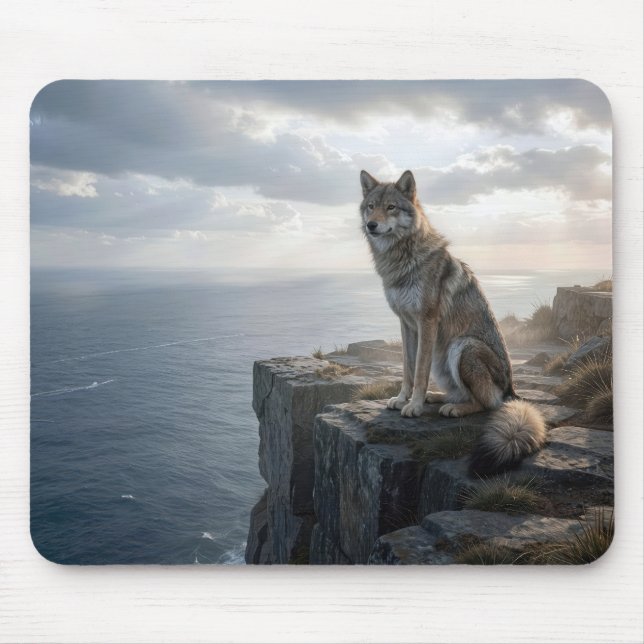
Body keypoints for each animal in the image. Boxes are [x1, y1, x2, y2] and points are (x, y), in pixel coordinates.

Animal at [359, 169, 546, 475]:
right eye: (371, 206)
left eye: (391, 207)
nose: (371, 225)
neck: (401, 259)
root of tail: (512, 392)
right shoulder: (406, 324)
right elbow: (408, 369)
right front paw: (402, 399)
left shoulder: (427, 321)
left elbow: (419, 373)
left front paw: (413, 406)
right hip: (443, 356)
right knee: (460, 393)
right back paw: (437, 398)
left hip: (462, 345)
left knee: (485, 403)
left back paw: (453, 409)